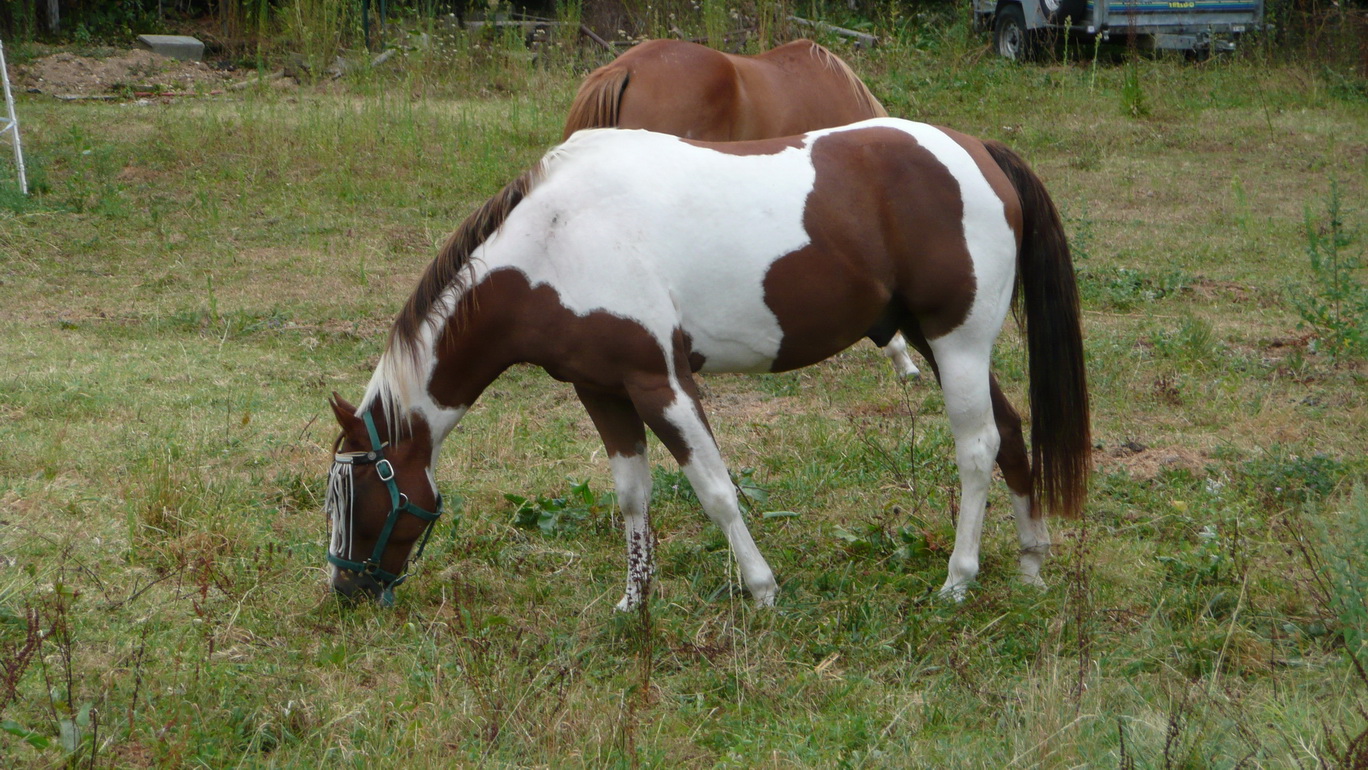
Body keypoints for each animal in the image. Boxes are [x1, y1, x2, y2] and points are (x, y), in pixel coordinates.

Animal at [322, 117, 1088, 612]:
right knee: (1010, 432)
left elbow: (715, 490)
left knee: (976, 446)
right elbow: (632, 495)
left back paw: (959, 580)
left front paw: (763, 590)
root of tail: (979, 152)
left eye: (351, 495)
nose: (346, 589)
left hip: (957, 341)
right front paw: (635, 600)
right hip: (938, 341)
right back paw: (1031, 563)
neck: (555, 244)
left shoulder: (660, 383)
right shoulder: (602, 391)